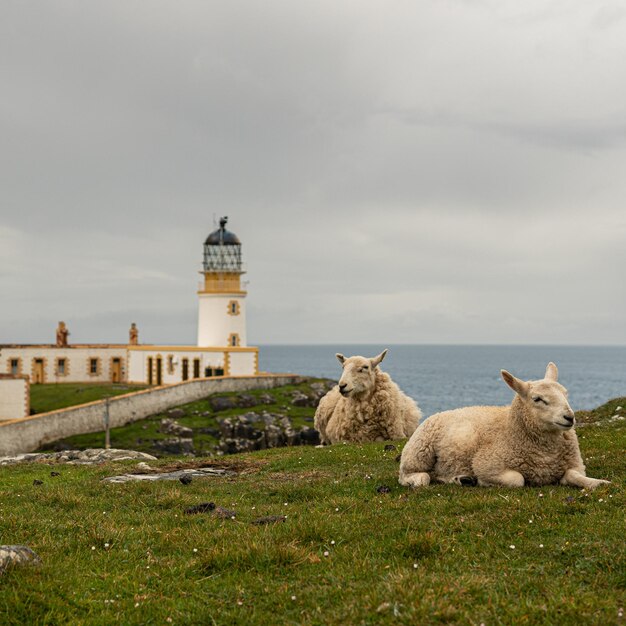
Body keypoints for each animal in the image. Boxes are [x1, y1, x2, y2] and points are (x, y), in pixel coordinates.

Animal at [398, 364, 608, 490]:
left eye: (565, 393)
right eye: (537, 399)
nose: (569, 417)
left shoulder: (575, 464)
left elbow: (575, 476)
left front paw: (599, 482)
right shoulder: (486, 463)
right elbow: (517, 480)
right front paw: (484, 482)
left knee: (438, 475)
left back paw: (462, 479)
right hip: (418, 453)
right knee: (413, 475)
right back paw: (418, 480)